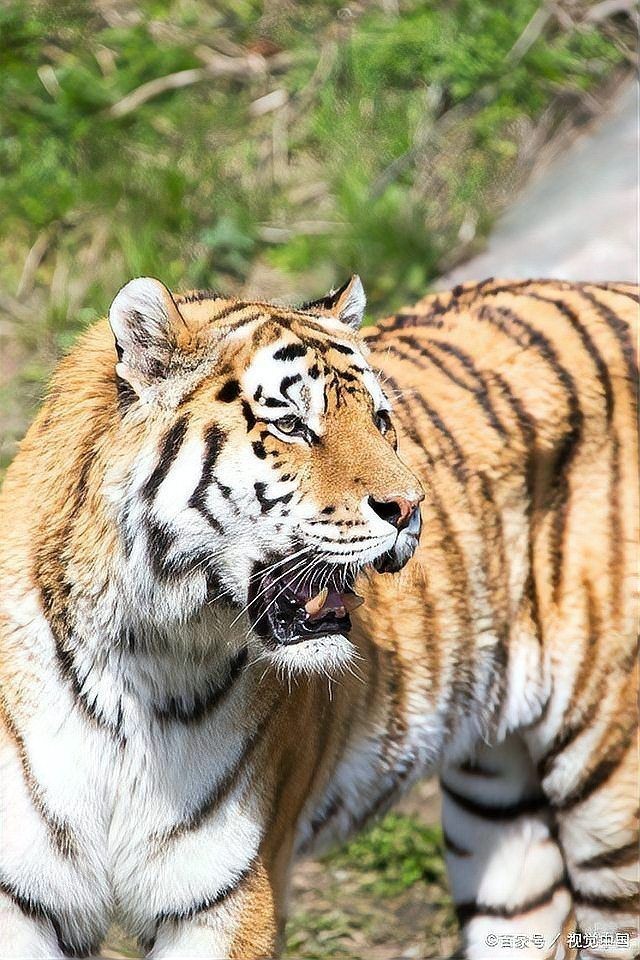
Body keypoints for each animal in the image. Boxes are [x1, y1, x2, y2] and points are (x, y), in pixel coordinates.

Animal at [0, 274, 637, 960]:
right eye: (291, 424)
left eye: (381, 421)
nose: (410, 507)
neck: (139, 657)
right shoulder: (21, 895)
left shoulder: (229, 897)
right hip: (498, 812)